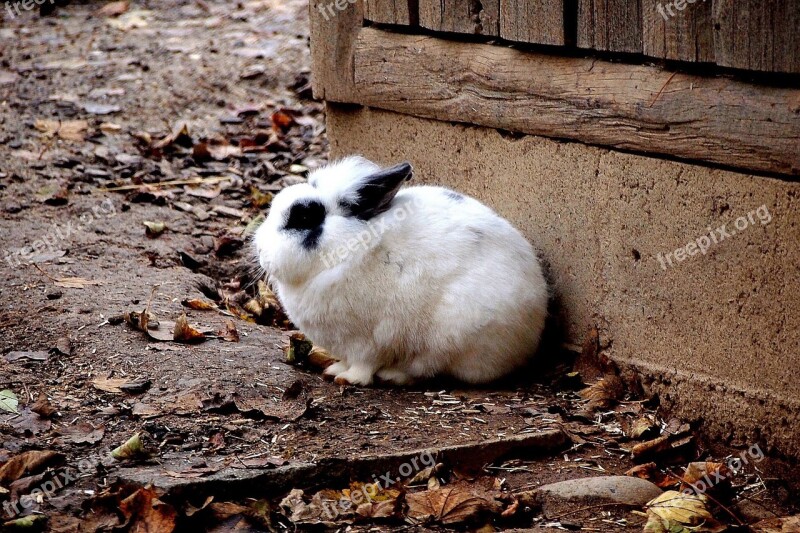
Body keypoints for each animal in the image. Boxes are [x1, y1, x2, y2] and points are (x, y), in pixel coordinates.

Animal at [256, 156, 552, 384]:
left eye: (304, 217)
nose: (259, 250)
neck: (345, 247)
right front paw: (334, 369)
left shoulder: (370, 339)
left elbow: (364, 363)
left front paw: (347, 379)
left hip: (448, 339)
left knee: (426, 368)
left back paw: (392, 376)